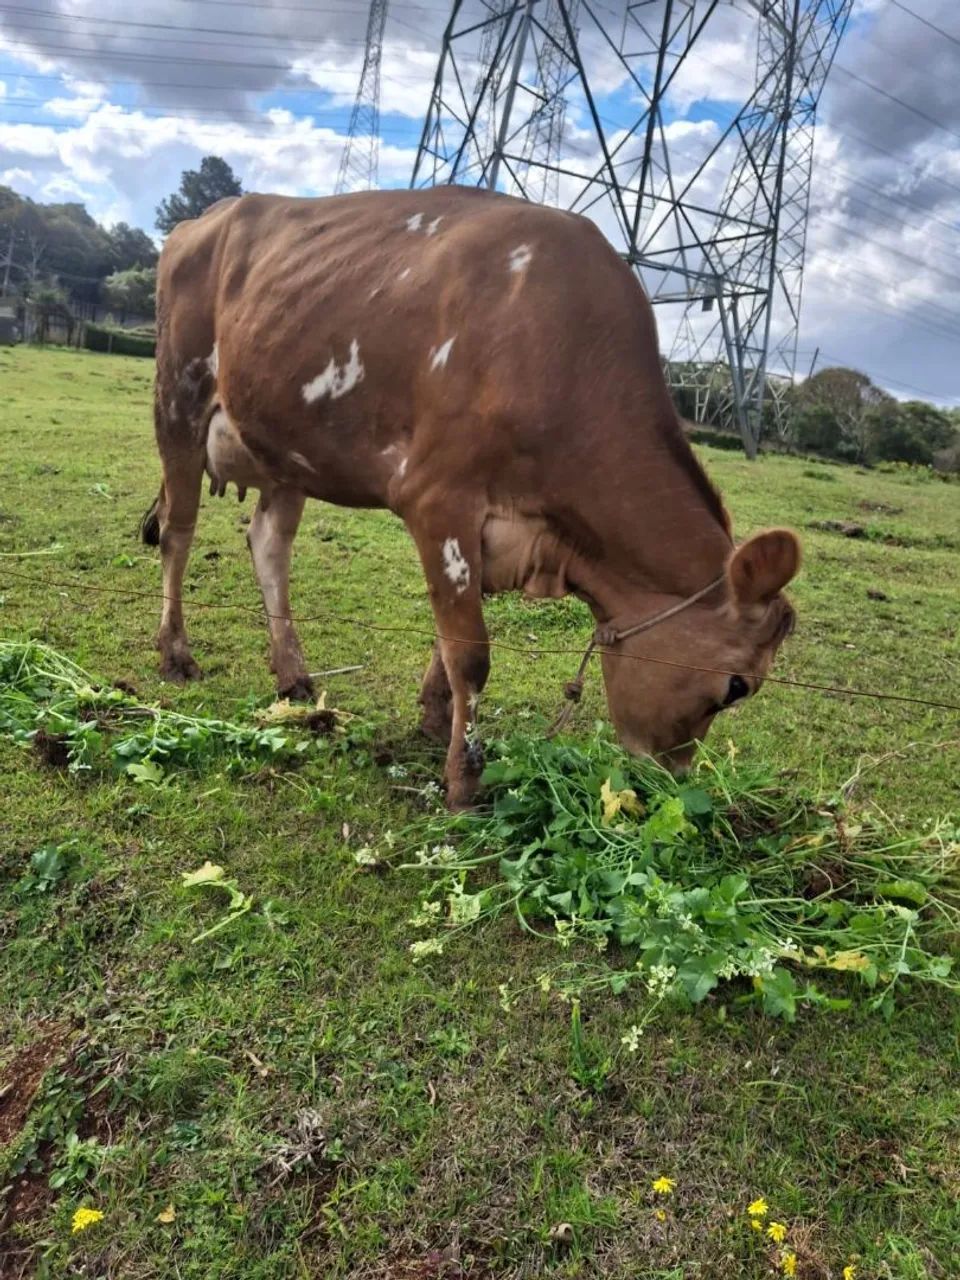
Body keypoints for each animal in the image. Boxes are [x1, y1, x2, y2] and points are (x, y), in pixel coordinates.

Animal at [142, 186, 800, 809]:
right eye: (737, 686)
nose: (670, 777)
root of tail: (207, 217)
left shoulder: (491, 530)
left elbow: (448, 642)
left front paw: (436, 721)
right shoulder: (439, 500)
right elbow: (471, 653)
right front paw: (464, 780)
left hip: (284, 446)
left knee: (269, 546)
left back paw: (292, 673)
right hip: (178, 400)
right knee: (178, 531)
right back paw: (175, 655)